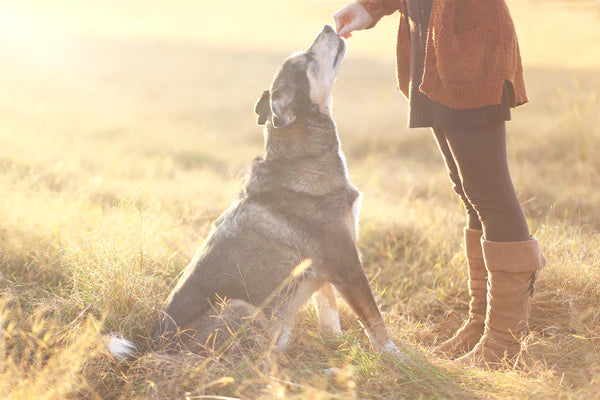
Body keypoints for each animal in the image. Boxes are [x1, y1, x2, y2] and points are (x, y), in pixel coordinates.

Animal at [110, 25, 406, 362]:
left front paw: (335, 345)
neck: (301, 157)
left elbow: (328, 311)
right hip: (241, 308)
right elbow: (374, 319)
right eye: (307, 61)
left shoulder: (325, 267)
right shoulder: (345, 261)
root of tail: (153, 347)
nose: (329, 27)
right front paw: (398, 359)